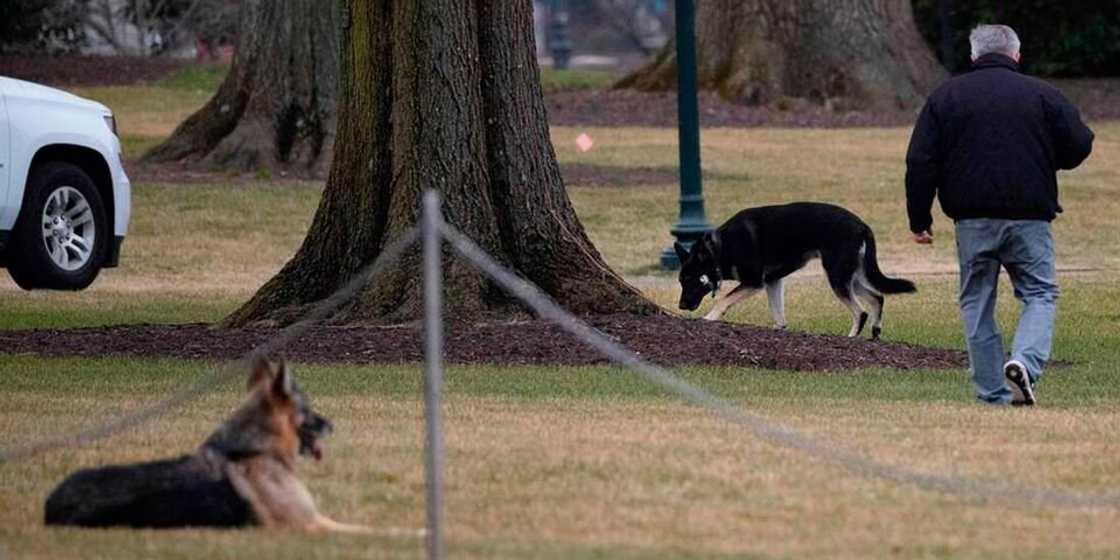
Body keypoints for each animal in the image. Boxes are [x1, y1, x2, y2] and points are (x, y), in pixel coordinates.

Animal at [45, 356, 367, 530]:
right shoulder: (308, 524)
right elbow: (366, 529)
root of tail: (51, 507)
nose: (332, 425)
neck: (251, 449)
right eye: (308, 409)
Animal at [672, 202, 918, 340]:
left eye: (691, 279)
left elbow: (723, 300)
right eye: (681, 281)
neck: (720, 248)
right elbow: (778, 313)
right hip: (851, 276)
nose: (681, 306)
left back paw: (851, 338)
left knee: (861, 312)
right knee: (877, 297)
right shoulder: (772, 282)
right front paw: (779, 330)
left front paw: (709, 318)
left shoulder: (754, 282)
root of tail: (862, 226)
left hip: (837, 276)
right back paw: (875, 333)